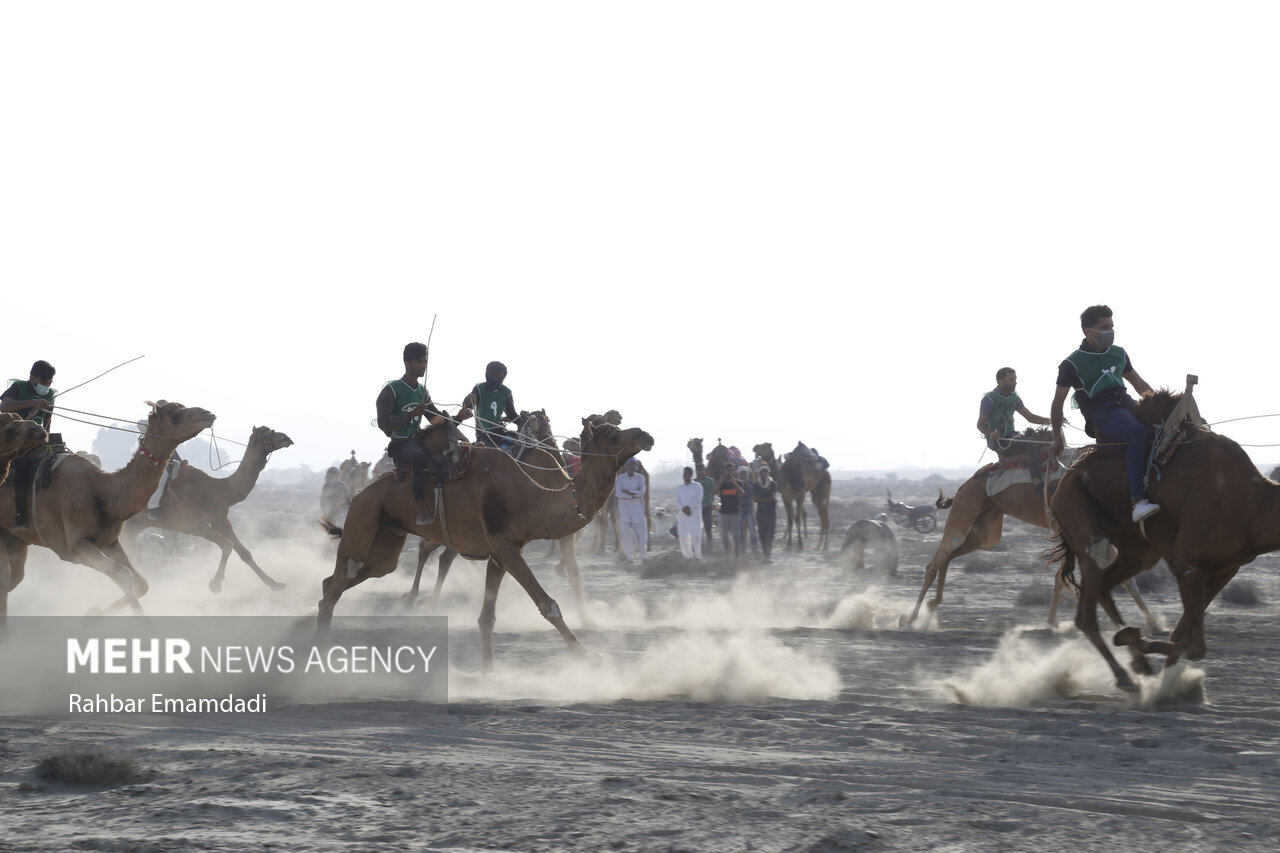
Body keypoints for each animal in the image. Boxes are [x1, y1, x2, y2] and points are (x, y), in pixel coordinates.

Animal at [0, 399, 216, 617]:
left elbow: (142, 583)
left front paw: (93, 614)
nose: (208, 414)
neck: (102, 491)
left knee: (15, 578)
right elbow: (124, 575)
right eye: (174, 413)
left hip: (15, 539)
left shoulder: (110, 542)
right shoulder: (75, 547)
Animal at [120, 422, 293, 591]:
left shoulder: (220, 520)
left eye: (271, 429)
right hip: (128, 525)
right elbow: (227, 545)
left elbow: (244, 552)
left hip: (135, 525)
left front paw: (274, 583)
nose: (286, 438)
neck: (216, 489)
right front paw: (216, 583)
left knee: (131, 553)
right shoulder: (196, 526)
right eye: (265, 434)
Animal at [320, 414, 650, 666]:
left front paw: (488, 673)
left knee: (337, 582)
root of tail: (359, 494)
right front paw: (588, 657)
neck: (532, 495)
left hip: (386, 543)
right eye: (612, 435)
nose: (645, 435)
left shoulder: (501, 552)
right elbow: (549, 606)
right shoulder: (506, 547)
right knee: (337, 585)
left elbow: (487, 617)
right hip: (362, 524)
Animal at [1044, 384, 1264, 691]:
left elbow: (1185, 633)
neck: (1253, 499)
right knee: (1087, 607)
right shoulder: (1189, 560)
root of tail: (1062, 482)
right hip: (1077, 515)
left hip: (1136, 549)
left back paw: (1137, 660)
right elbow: (1193, 644)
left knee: (1104, 587)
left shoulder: (1226, 566)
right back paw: (1125, 673)